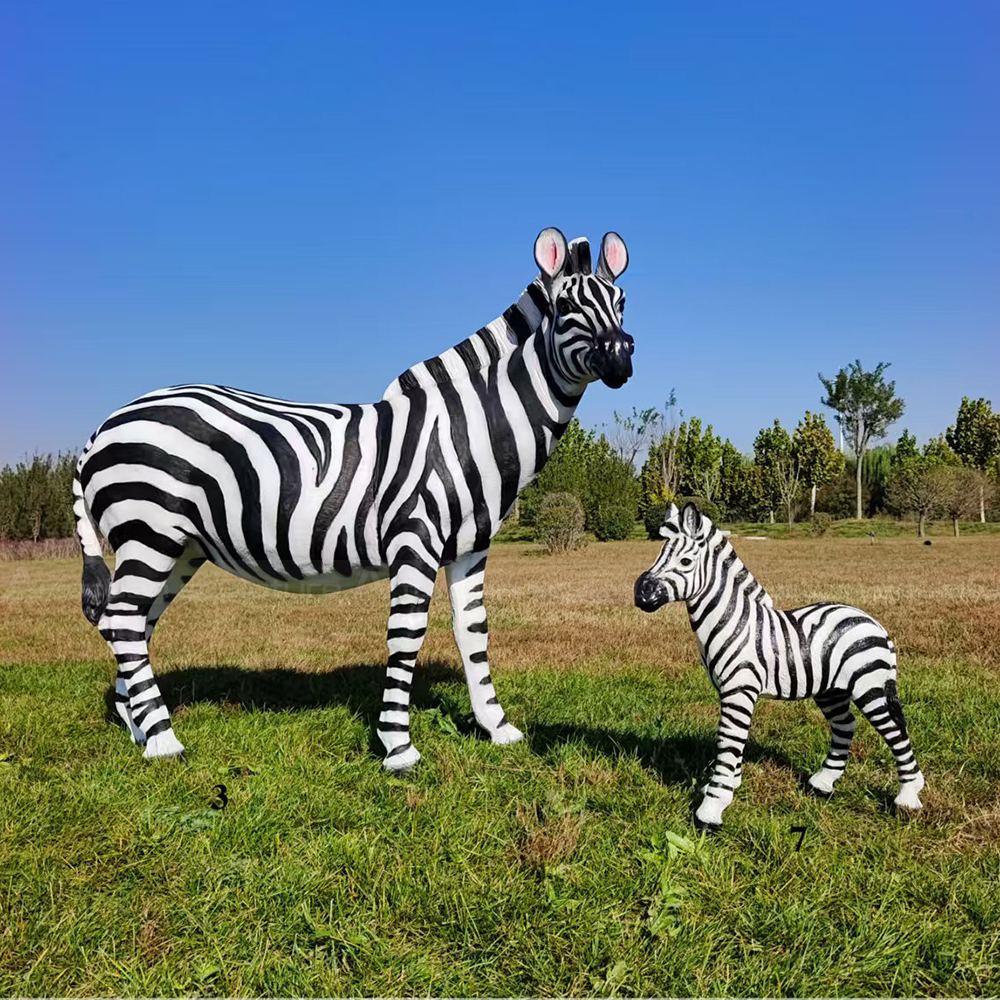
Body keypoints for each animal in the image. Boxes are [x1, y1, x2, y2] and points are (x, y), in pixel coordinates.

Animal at [73, 228, 633, 769]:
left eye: (623, 301)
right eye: (567, 306)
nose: (622, 356)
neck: (468, 430)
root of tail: (101, 428)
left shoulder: (471, 548)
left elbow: (474, 631)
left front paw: (497, 728)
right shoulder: (414, 540)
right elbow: (406, 635)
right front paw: (398, 747)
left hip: (179, 547)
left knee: (130, 624)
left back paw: (139, 730)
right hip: (150, 533)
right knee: (125, 620)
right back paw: (165, 742)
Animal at [633, 502, 925, 829]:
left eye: (685, 561)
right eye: (659, 554)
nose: (640, 592)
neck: (732, 620)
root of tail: (873, 621)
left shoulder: (740, 690)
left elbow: (729, 740)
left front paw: (712, 808)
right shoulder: (729, 692)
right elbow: (733, 741)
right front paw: (728, 785)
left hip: (870, 686)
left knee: (895, 730)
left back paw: (908, 798)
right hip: (832, 690)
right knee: (845, 724)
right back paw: (822, 784)